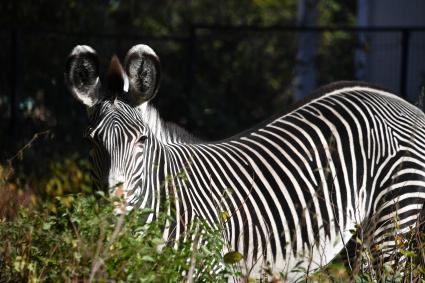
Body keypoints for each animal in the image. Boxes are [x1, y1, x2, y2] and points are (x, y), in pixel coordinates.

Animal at [64, 44, 424, 282]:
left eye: (141, 141)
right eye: (89, 141)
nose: (114, 211)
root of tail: (404, 102)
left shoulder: (217, 270)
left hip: (392, 222)